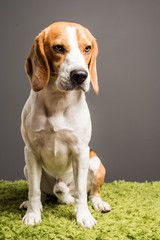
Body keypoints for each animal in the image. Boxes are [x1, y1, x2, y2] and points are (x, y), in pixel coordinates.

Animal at [19, 21, 110, 228]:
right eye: (58, 48)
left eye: (87, 48)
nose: (80, 75)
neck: (58, 101)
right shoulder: (31, 151)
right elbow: (34, 190)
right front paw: (32, 214)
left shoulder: (80, 151)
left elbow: (82, 194)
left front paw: (84, 216)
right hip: (27, 168)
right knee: (43, 193)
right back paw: (35, 203)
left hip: (96, 162)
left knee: (89, 193)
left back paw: (98, 203)